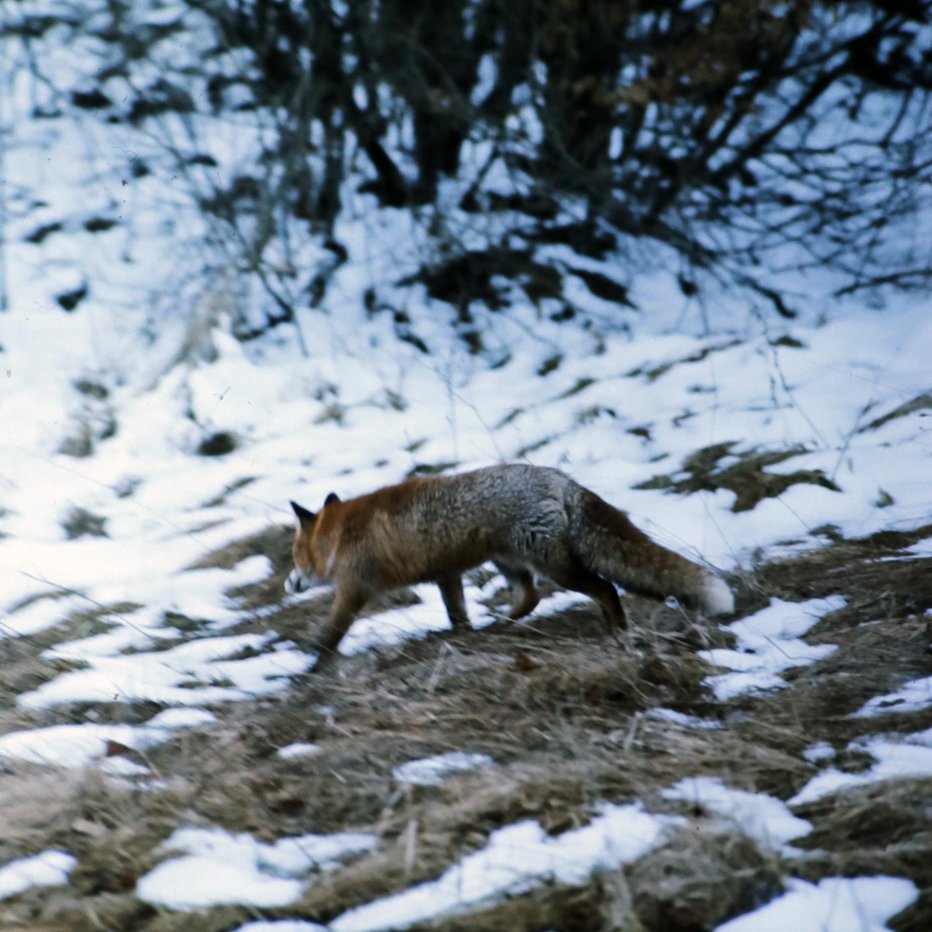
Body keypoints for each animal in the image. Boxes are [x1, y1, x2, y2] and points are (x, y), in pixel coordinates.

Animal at [284, 464, 728, 668]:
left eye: (294, 556)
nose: (288, 583)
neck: (341, 536)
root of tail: (558, 478)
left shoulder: (354, 590)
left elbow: (330, 634)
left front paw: (310, 664)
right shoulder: (448, 576)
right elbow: (458, 616)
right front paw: (462, 637)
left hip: (554, 567)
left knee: (606, 588)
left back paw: (618, 632)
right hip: (510, 563)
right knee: (531, 597)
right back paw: (502, 625)